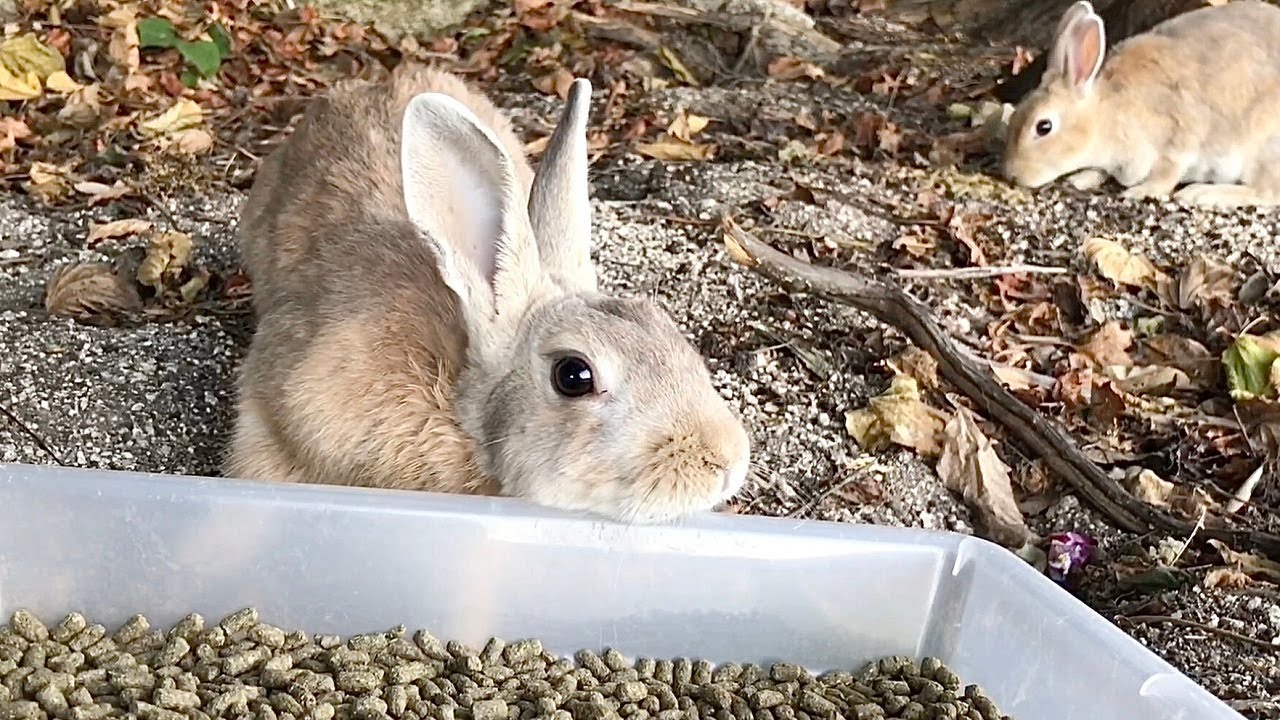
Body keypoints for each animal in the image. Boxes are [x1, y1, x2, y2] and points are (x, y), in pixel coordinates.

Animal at [1001, 0, 1280, 208]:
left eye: (1043, 127)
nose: (1012, 175)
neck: (1105, 115)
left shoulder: (1176, 135)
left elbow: (1167, 172)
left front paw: (1139, 191)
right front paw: (1081, 179)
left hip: (1263, 148)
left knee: (1267, 193)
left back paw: (1202, 193)